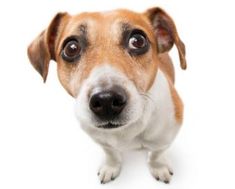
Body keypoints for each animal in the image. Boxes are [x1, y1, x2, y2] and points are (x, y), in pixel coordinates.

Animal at [26, 6, 186, 184]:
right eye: (71, 48)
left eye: (138, 41)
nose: (106, 100)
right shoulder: (101, 141)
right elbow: (111, 153)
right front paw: (111, 167)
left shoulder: (164, 139)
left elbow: (156, 154)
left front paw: (159, 167)